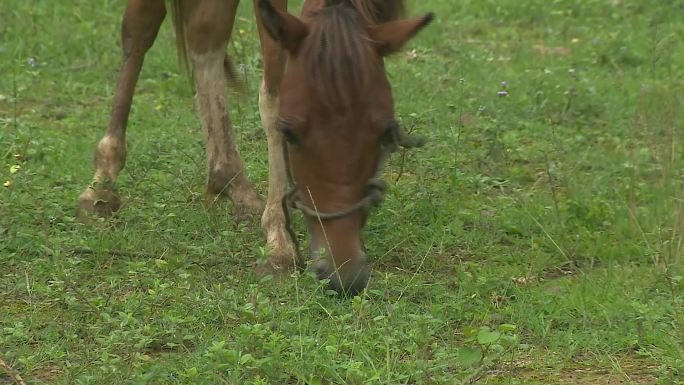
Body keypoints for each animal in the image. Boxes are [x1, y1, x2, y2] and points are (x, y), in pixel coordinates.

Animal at [77, 0, 432, 294]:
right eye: (290, 133)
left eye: (385, 134)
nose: (343, 275)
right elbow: (273, 92)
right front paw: (279, 244)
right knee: (142, 28)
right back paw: (102, 182)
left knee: (205, 37)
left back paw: (231, 183)